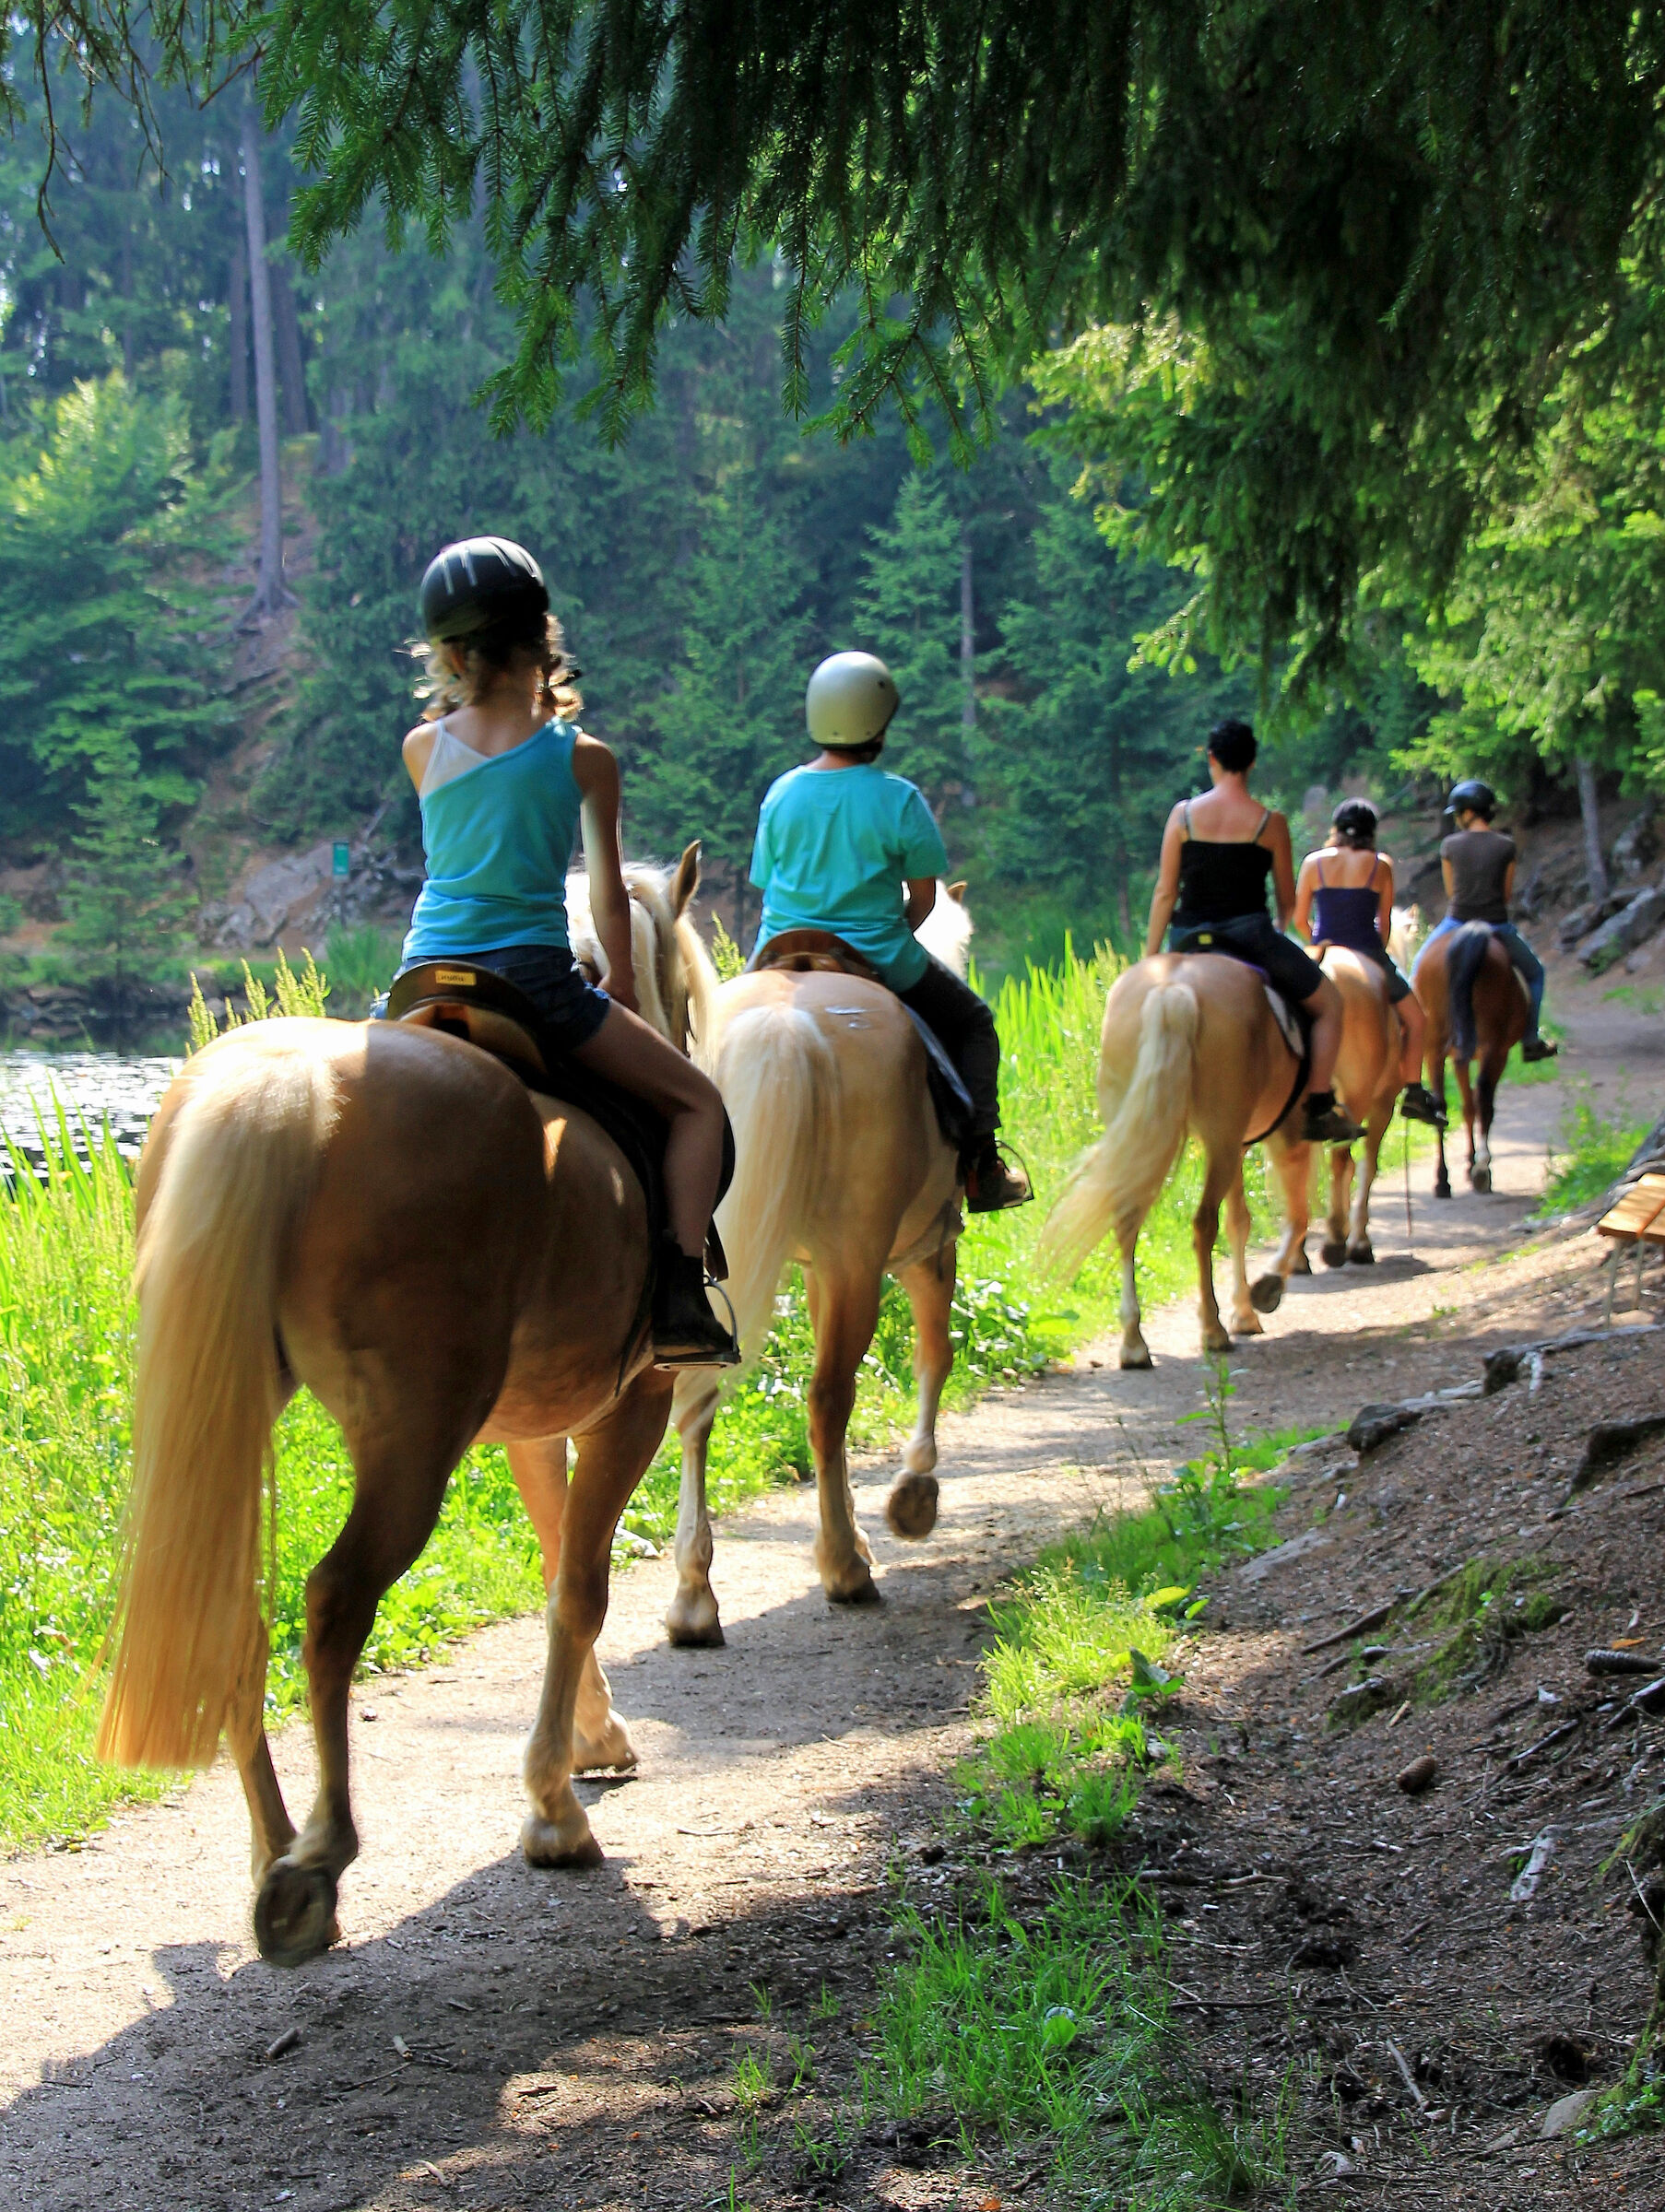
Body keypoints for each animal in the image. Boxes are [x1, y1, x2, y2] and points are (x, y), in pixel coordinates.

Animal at [96, 849, 713, 1968]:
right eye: (680, 993)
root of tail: (289, 1090)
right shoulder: (631, 1406)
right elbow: (581, 1588)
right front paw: (553, 1811)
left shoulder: (530, 1426)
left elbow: (556, 1567)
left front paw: (588, 1744)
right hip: (412, 1445)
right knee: (336, 1600)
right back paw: (316, 1862)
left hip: (239, 1410)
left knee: (234, 1607)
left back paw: (276, 1849)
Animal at [661, 884, 972, 1643]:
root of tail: (784, 1022)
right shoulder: (924, 1250)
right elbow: (936, 1354)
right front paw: (914, 1495)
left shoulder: (813, 1269)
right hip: (860, 1261)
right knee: (830, 1398)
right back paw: (844, 1567)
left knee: (698, 1404)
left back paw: (693, 1596)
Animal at [1038, 952, 1305, 1366]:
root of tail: (1173, 989)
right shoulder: (1278, 1134)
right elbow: (1295, 1211)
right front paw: (1264, 1291)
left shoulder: (1241, 1144)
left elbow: (1241, 1221)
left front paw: (1246, 1309)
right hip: (1222, 1139)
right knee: (1204, 1223)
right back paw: (1212, 1330)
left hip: (1153, 1135)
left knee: (1127, 1221)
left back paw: (1134, 1343)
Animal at [1412, 925, 1529, 1196]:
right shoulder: (1496, 1053)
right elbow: (1475, 1105)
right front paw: (1473, 1163)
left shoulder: (1458, 1058)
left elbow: (1467, 1108)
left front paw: (1468, 1162)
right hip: (1492, 1048)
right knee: (1484, 1097)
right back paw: (1482, 1170)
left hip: (1434, 1049)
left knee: (1441, 1106)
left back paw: (1442, 1180)